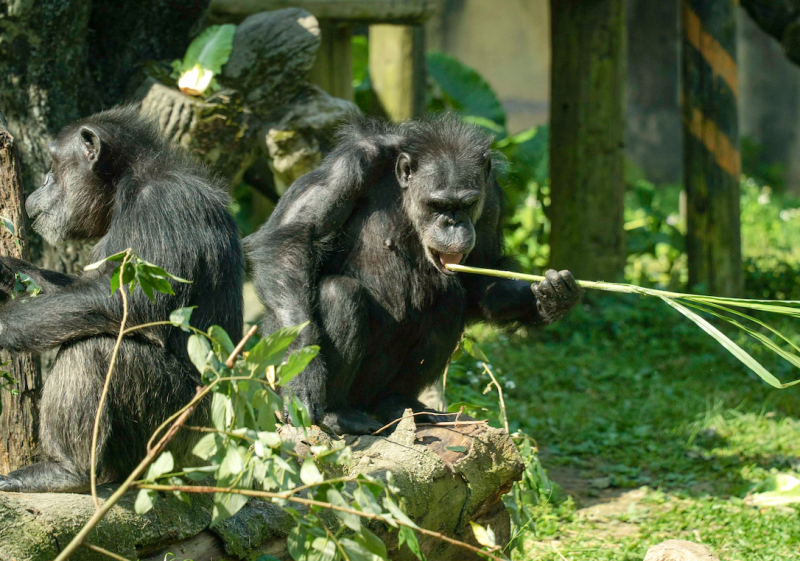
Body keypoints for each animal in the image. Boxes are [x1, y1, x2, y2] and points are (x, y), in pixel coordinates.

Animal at [0, 107, 244, 492]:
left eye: (53, 165)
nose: (43, 182)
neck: (125, 186)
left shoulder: (163, 206)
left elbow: (129, 302)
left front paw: (2, 323)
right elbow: (78, 288)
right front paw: (7, 271)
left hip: (173, 436)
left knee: (91, 349)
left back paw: (65, 470)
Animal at [247, 115, 580, 434]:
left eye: (468, 203)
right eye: (438, 204)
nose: (453, 223)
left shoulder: (492, 199)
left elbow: (480, 272)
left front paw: (550, 296)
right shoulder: (350, 165)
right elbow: (294, 235)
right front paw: (303, 374)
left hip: (376, 386)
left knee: (449, 301)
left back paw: (400, 403)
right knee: (339, 294)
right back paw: (337, 414)